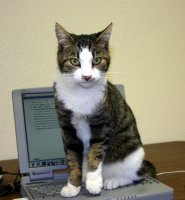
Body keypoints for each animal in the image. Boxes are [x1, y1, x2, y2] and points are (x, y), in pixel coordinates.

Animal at [54, 22, 155, 198]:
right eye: (74, 61)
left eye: (96, 60)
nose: (87, 76)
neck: (81, 94)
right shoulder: (67, 128)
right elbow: (72, 157)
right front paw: (72, 186)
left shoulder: (102, 124)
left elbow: (96, 152)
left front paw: (93, 183)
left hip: (133, 154)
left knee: (137, 175)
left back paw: (113, 181)